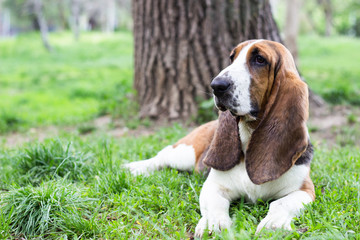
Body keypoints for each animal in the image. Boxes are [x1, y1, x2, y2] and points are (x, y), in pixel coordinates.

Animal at [124, 39, 316, 236]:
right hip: (185, 153)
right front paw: (213, 222)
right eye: (232, 57)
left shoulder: (305, 189)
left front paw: (274, 224)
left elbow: (282, 203)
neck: (248, 135)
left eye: (259, 59)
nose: (216, 85)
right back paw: (135, 167)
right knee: (162, 157)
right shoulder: (214, 186)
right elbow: (216, 203)